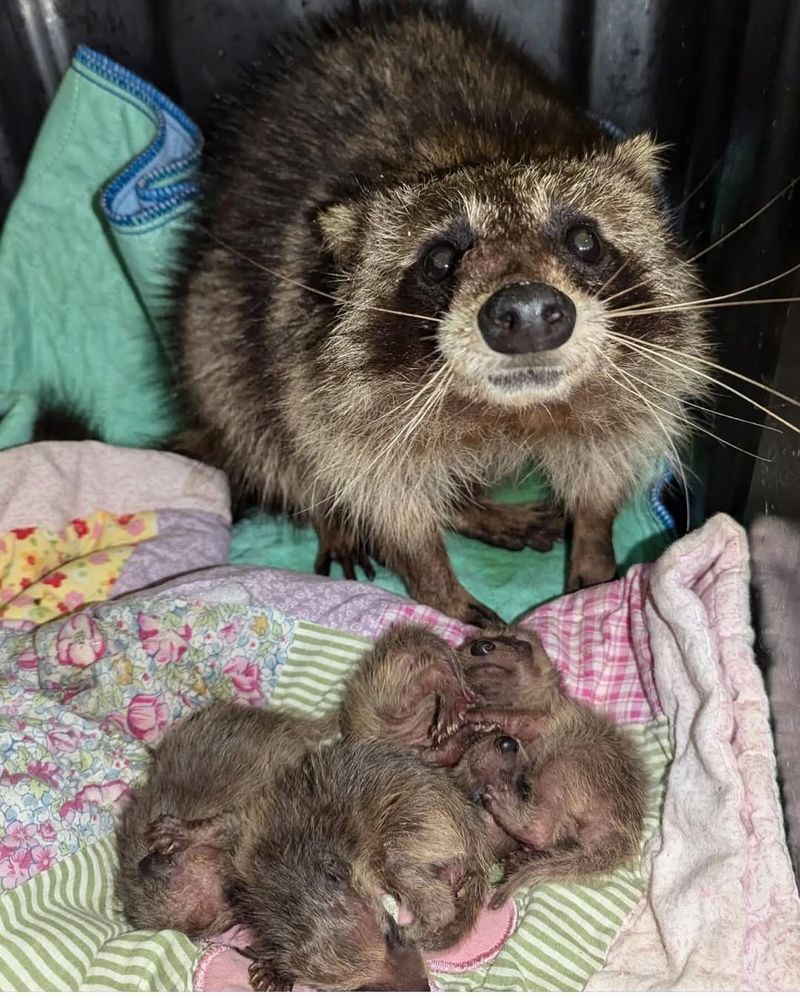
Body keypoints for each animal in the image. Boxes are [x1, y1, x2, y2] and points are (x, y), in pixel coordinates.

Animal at [178, 1, 710, 624]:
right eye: (440, 260)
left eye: (583, 240)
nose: (527, 311)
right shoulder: (316, 368)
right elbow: (373, 486)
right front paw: (434, 579)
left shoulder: (644, 371)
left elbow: (604, 462)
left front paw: (594, 548)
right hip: (215, 321)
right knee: (259, 421)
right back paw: (343, 515)